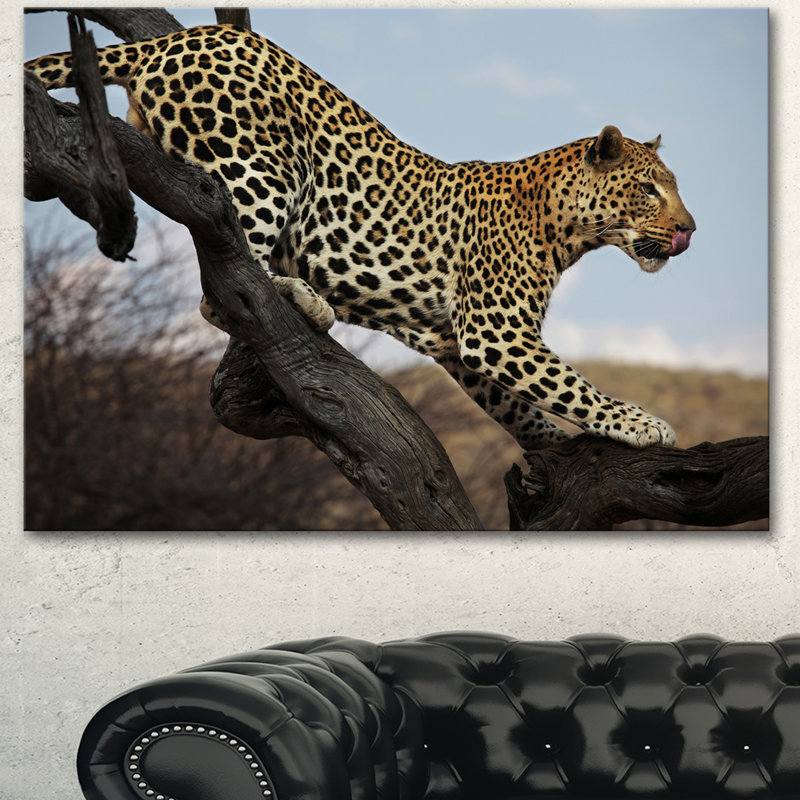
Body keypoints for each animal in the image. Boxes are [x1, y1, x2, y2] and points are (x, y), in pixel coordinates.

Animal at [26, 23, 696, 450]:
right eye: (649, 189)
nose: (690, 230)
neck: (566, 227)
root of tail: (174, 37)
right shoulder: (495, 332)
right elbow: (573, 385)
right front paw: (643, 425)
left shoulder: (458, 342)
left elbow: (520, 405)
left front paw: (549, 443)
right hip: (258, 166)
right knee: (223, 285)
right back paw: (302, 297)